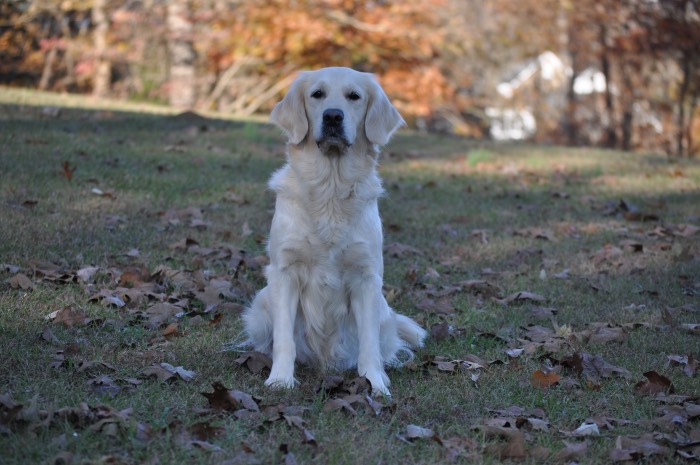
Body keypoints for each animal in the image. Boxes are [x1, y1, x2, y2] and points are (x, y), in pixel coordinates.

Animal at [241, 67, 426, 396]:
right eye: (317, 94)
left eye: (354, 96)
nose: (332, 117)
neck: (330, 188)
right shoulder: (284, 271)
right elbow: (284, 339)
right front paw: (280, 379)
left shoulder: (366, 276)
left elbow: (368, 343)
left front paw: (375, 383)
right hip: (261, 304)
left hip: (383, 310)